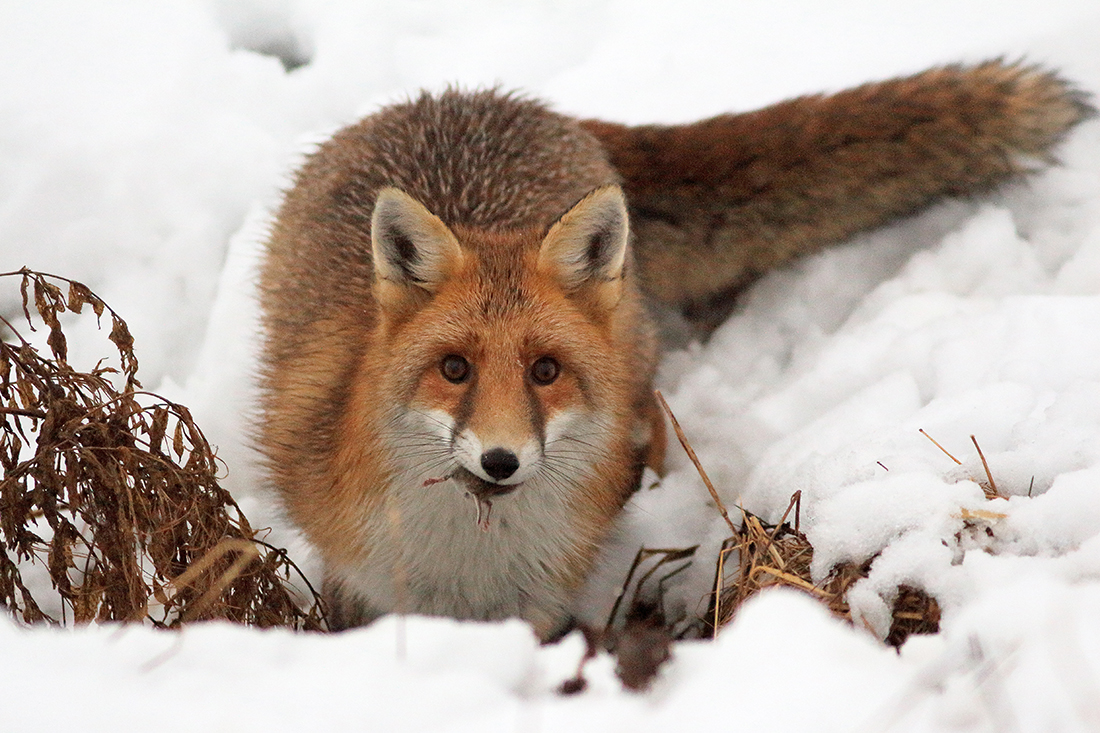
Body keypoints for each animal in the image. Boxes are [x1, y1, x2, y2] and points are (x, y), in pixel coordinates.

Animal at [257, 59, 1091, 638]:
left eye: (545, 371)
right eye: (453, 369)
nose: (500, 460)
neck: (465, 563)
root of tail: (481, 96)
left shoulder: (539, 602)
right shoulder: (360, 582)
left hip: (639, 372)